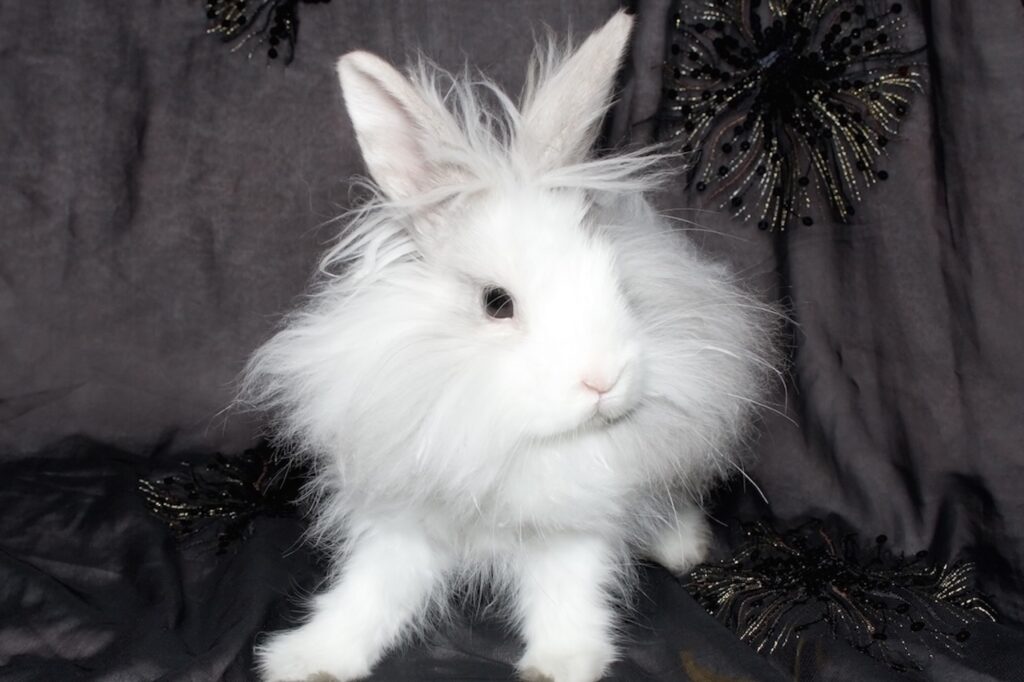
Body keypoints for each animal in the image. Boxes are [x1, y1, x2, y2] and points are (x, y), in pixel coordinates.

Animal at [242, 10, 779, 682]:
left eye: (621, 286)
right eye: (497, 303)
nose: (603, 381)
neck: (498, 442)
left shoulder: (573, 531)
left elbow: (566, 598)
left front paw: (559, 665)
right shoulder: (399, 525)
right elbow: (369, 594)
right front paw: (310, 659)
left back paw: (683, 549)